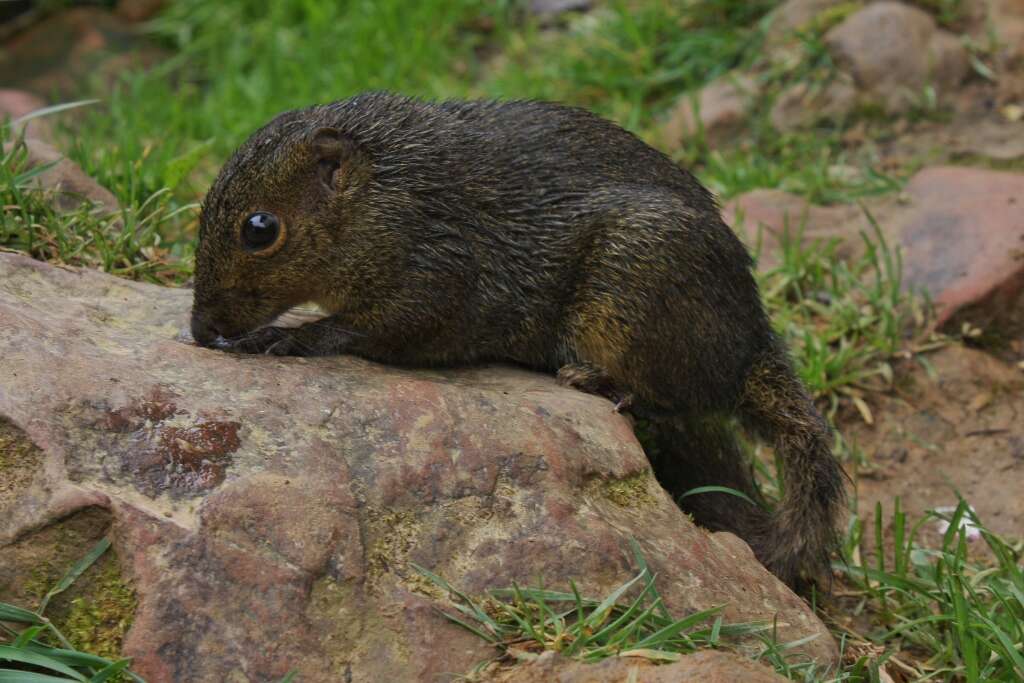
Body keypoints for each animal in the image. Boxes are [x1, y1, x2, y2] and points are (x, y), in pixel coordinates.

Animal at [192, 92, 847, 593]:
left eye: (260, 229)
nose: (201, 330)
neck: (388, 194)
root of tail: (752, 346)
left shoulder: (438, 278)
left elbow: (365, 327)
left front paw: (282, 337)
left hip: (633, 288)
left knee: (680, 396)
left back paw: (601, 382)